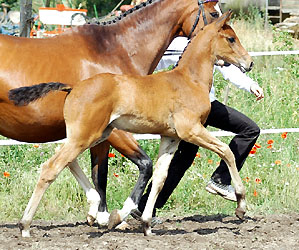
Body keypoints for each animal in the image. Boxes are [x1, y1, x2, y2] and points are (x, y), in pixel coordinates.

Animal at [9, 9, 251, 236]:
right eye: (231, 38)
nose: (249, 62)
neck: (189, 79)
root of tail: (73, 87)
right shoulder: (191, 130)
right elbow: (226, 151)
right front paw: (240, 205)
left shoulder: (171, 137)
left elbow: (161, 177)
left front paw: (146, 224)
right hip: (86, 135)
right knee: (51, 168)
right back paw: (25, 225)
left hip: (95, 135)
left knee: (67, 161)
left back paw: (94, 211)